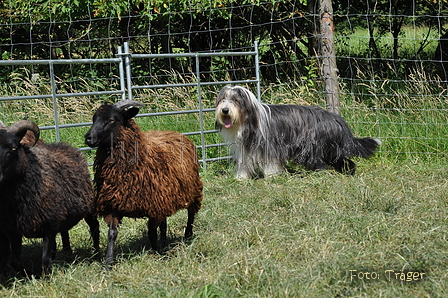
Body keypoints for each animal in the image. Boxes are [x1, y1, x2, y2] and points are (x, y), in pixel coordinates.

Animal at [84, 100, 203, 268]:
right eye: (94, 118)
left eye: (112, 120)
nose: (88, 138)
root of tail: (177, 133)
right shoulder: (114, 203)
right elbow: (112, 234)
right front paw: (108, 262)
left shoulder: (154, 206)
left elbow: (151, 232)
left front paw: (159, 253)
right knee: (164, 223)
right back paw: (164, 241)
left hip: (192, 189)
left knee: (191, 212)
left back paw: (187, 235)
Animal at [215, 85, 380, 179]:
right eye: (223, 99)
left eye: (236, 100)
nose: (225, 110)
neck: (250, 120)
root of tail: (337, 120)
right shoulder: (244, 148)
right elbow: (243, 163)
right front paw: (240, 177)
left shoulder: (270, 146)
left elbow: (271, 163)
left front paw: (272, 176)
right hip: (331, 149)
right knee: (344, 161)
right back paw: (347, 172)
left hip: (314, 148)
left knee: (323, 163)